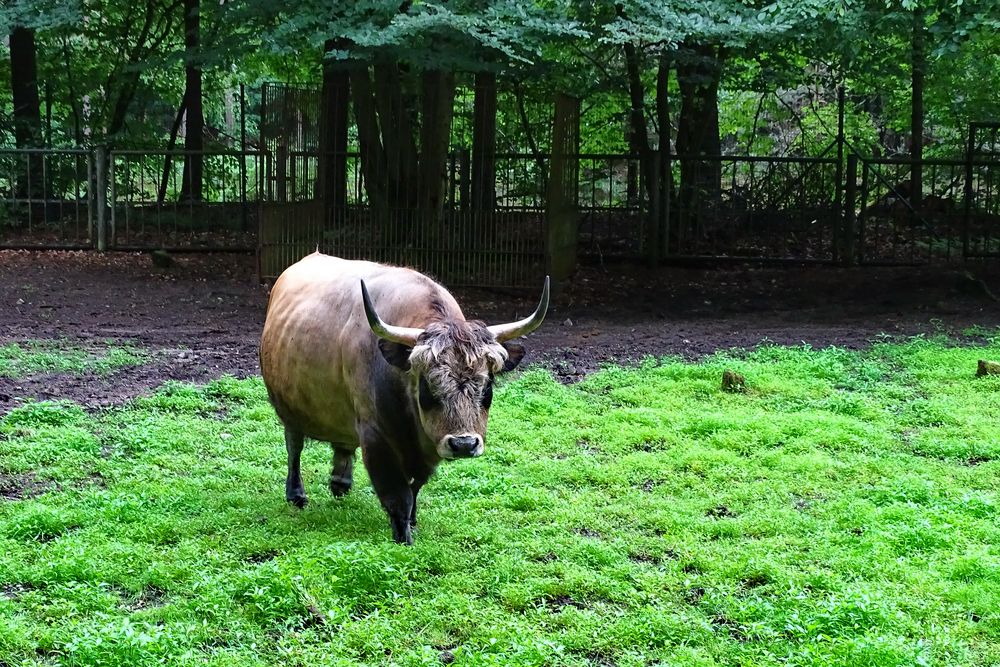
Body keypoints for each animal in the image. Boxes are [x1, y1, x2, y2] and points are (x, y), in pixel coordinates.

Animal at [258, 253, 552, 544]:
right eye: (428, 386)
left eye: (487, 385)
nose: (464, 444)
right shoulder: (376, 437)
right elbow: (398, 494)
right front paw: (403, 535)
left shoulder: (427, 449)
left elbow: (415, 488)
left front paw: (412, 521)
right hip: (288, 408)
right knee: (294, 446)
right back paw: (296, 495)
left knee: (341, 445)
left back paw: (341, 484)